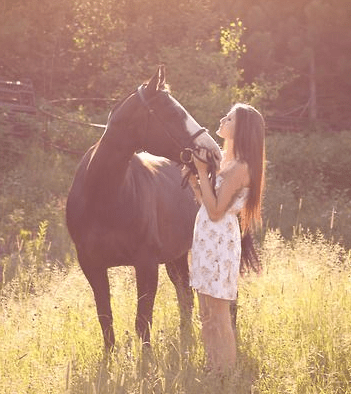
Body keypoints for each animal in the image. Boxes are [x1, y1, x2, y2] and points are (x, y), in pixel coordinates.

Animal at [65, 65, 220, 350]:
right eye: (173, 113)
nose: (213, 152)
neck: (104, 197)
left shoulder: (146, 264)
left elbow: (142, 322)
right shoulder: (92, 266)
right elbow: (106, 322)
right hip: (176, 256)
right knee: (185, 294)